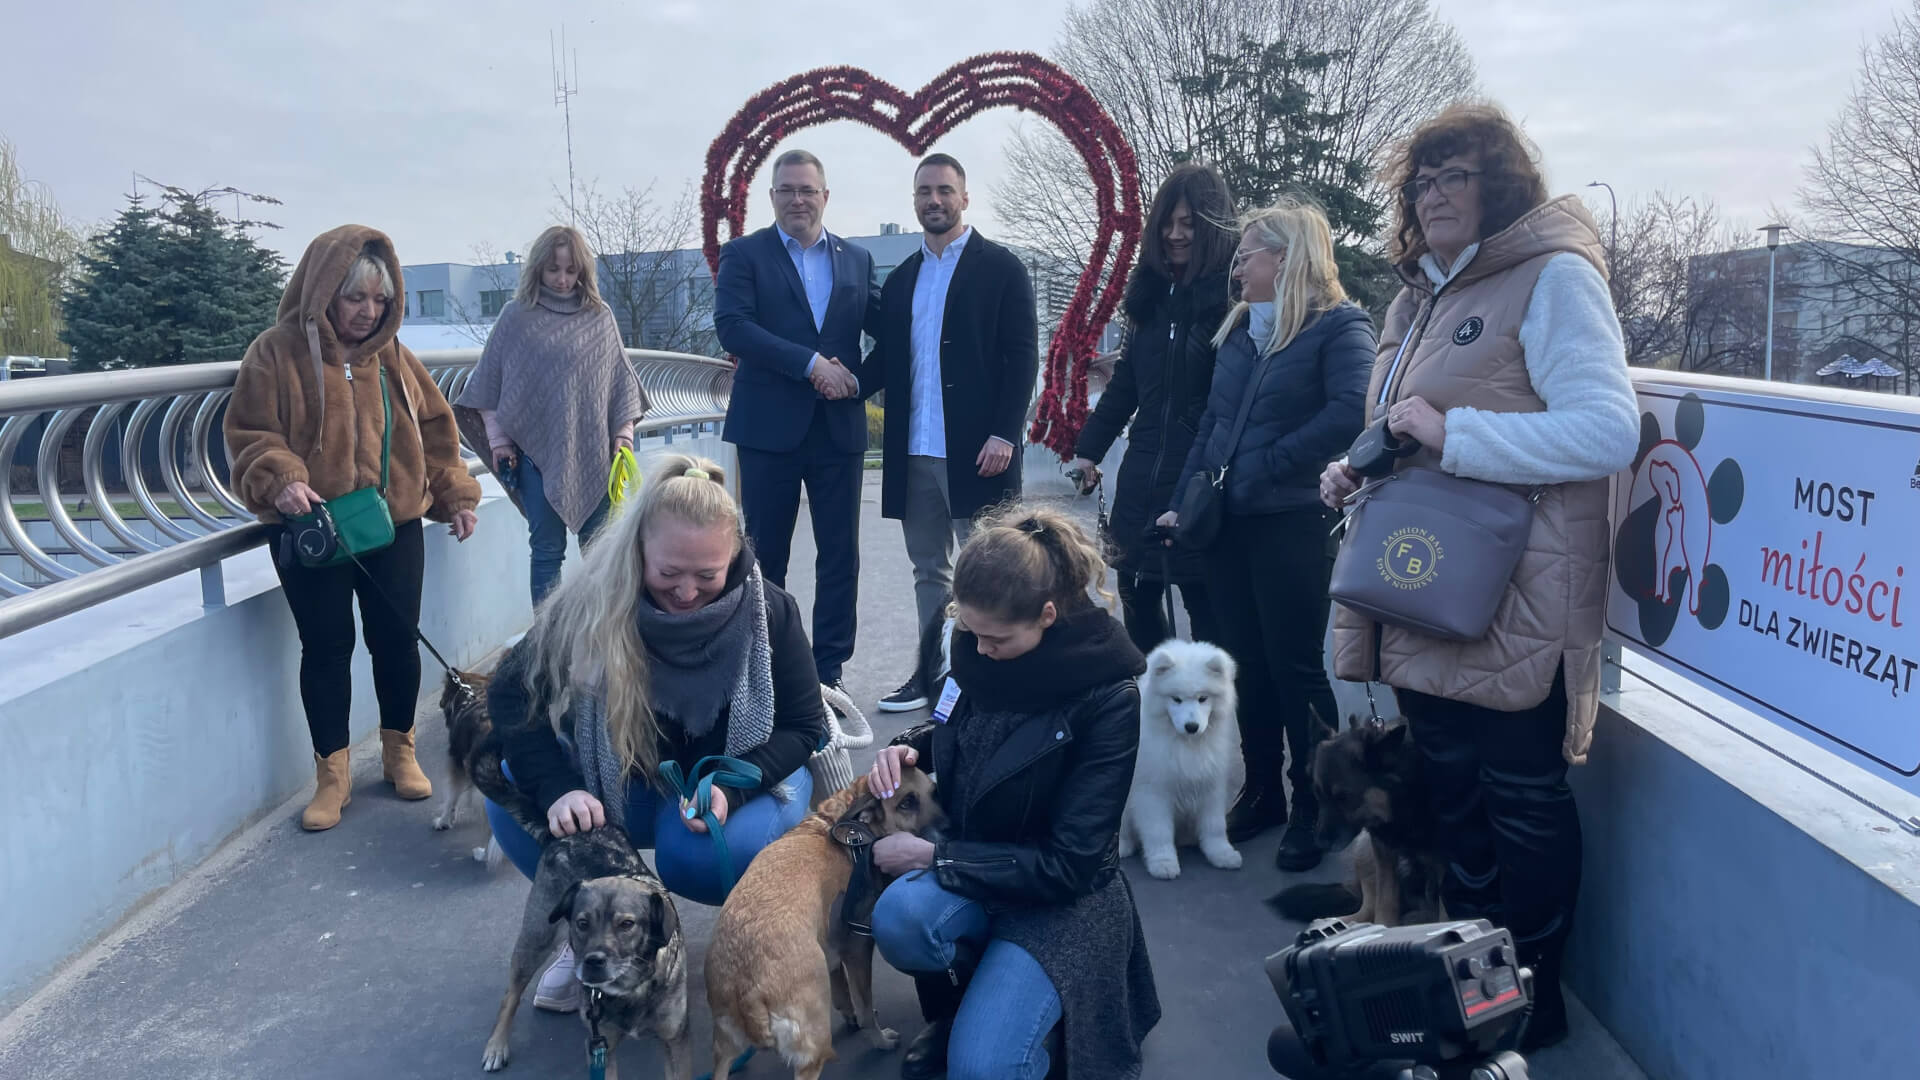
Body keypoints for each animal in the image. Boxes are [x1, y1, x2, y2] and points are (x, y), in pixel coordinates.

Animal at [483, 818, 695, 1068]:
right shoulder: (601, 1046)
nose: (592, 962)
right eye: (582, 923)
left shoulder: (675, 1043)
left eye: (627, 924)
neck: (631, 987)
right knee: (510, 996)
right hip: (535, 939)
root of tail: (567, 836)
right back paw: (496, 1046)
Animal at [706, 764, 944, 1076]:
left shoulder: (833, 957)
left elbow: (845, 994)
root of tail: (745, 987)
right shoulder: (857, 951)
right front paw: (879, 1038)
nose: (948, 831)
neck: (851, 834)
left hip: (724, 1051)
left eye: (933, 793)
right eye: (906, 802)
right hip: (812, 1050)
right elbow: (865, 1007)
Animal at [1113, 638, 1244, 876]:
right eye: (1176, 699)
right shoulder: (1152, 792)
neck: (1186, 745)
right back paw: (1123, 846)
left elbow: (1214, 826)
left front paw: (1222, 854)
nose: (1191, 727)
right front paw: (1163, 863)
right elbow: (1158, 831)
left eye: (1203, 698)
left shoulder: (1211, 784)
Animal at [1267, 707, 1436, 926]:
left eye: (1344, 798)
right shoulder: (1383, 849)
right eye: (1317, 794)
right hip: (1366, 850)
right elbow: (1385, 906)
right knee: (1366, 913)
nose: (1320, 843)